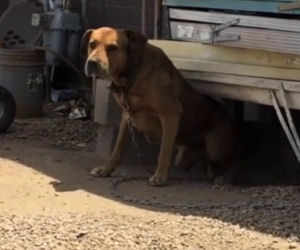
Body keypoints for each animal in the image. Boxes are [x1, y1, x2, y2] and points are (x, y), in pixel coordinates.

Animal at [82, 27, 241, 186]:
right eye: (92, 44)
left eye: (113, 48)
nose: (92, 63)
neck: (131, 73)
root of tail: (229, 116)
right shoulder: (126, 115)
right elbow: (118, 147)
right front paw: (106, 169)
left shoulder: (170, 114)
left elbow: (164, 150)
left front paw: (160, 176)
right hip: (186, 157)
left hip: (216, 149)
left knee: (234, 163)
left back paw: (225, 179)